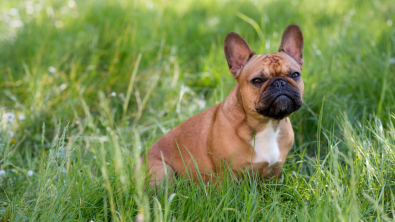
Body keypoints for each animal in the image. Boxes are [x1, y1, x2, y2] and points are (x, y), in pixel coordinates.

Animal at [146, 23, 306, 186]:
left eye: (295, 74)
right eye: (257, 80)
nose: (280, 83)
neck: (267, 124)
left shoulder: (274, 172)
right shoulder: (227, 175)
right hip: (162, 172)